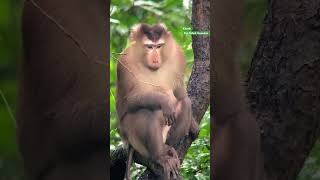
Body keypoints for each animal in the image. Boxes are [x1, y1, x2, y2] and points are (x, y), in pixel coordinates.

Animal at [116, 23, 199, 179]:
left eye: (159, 46)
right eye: (149, 47)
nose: (155, 59)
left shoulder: (177, 57)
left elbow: (180, 93)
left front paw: (192, 124)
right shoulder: (125, 63)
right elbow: (126, 101)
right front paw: (164, 101)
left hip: (165, 134)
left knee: (185, 103)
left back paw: (167, 148)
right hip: (133, 139)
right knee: (148, 111)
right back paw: (159, 157)